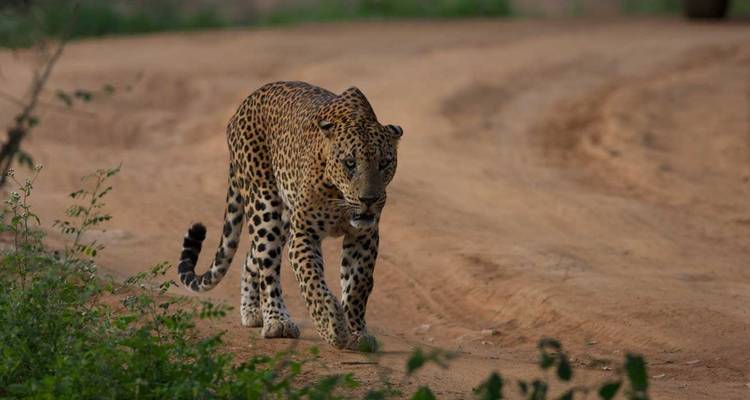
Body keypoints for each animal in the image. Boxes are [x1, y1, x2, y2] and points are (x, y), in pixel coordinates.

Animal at [177, 81, 402, 350]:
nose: (369, 200)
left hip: (282, 221)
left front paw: (357, 333)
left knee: (251, 257)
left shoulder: (364, 237)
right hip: (266, 208)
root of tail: (244, 105)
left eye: (385, 163)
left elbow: (357, 286)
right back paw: (277, 322)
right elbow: (312, 282)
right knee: (267, 268)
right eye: (350, 163)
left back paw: (252, 312)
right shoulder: (304, 234)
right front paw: (331, 326)